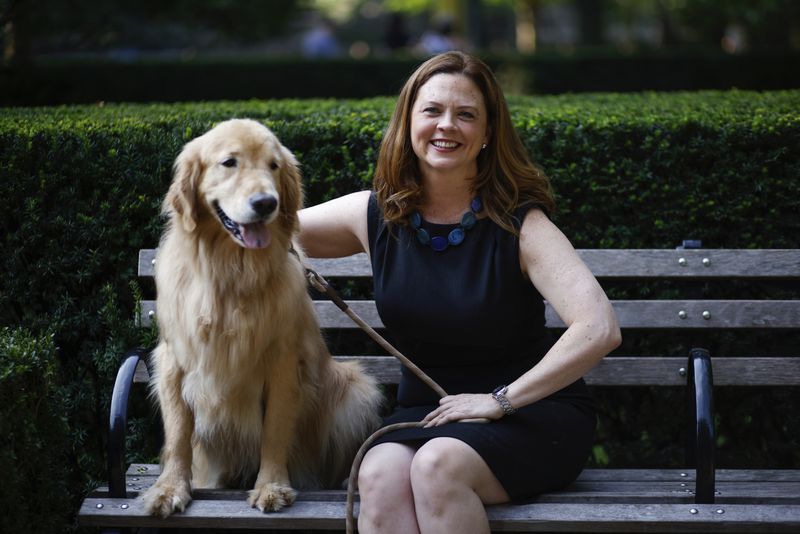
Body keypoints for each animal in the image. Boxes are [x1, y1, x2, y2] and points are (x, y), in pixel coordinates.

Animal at [142, 119, 382, 516]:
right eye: (229, 162)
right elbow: (178, 432)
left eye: (274, 166)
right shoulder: (173, 360)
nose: (266, 203)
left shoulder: (284, 362)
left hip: (354, 388)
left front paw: (271, 487)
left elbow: (275, 430)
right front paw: (169, 487)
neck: (231, 274)